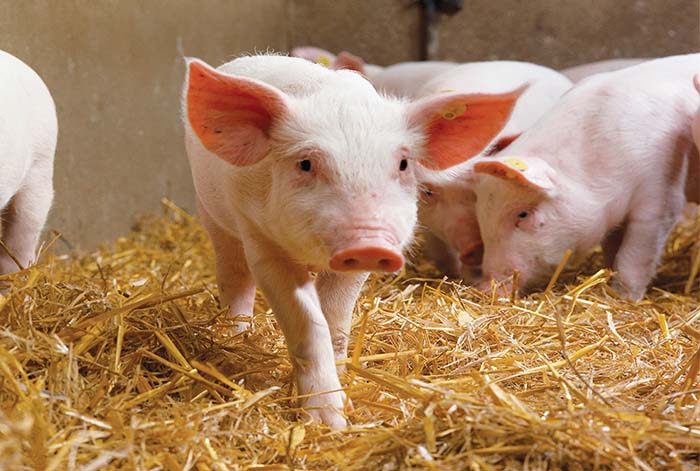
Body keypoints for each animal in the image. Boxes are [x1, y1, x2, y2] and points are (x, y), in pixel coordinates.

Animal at [183, 54, 523, 426]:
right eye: (305, 164)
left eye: (403, 164)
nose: (367, 243)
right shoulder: (260, 240)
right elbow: (306, 321)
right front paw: (327, 422)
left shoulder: (353, 268)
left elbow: (334, 317)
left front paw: (342, 394)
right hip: (211, 214)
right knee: (234, 275)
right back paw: (235, 336)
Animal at [470, 54, 700, 301]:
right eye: (481, 217)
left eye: (522, 215)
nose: (485, 288)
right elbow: (612, 249)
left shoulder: (660, 192)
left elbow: (633, 257)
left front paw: (623, 299)